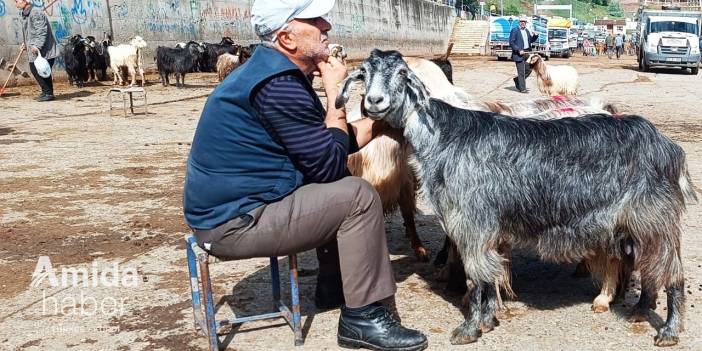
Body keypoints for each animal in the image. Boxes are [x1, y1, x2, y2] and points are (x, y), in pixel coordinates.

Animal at [336, 48, 700, 346]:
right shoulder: (479, 227)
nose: (374, 103)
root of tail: (667, 146)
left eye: (401, 73)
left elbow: (477, 277)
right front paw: (487, 319)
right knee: (650, 265)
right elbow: (485, 274)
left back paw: (667, 331)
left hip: (654, 215)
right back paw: (639, 308)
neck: (445, 135)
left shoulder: (473, 222)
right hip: (634, 222)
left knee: (673, 272)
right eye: (363, 72)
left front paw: (469, 328)